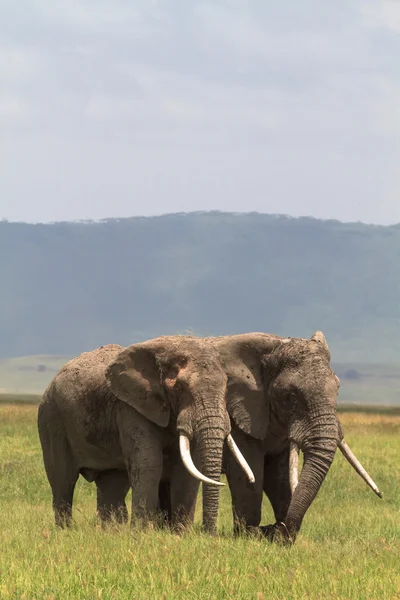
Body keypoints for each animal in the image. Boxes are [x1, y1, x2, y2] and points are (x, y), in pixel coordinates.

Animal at [39, 338, 255, 536]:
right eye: (180, 388)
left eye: (226, 388)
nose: (209, 533)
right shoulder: (131, 406)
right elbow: (149, 462)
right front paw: (142, 534)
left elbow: (187, 468)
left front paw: (181, 534)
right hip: (51, 419)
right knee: (63, 480)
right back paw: (65, 532)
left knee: (113, 482)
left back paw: (111, 533)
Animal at [206, 330, 382, 540]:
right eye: (291, 396)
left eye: (338, 389)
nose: (278, 529)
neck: (272, 346)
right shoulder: (241, 416)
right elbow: (250, 475)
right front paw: (249, 536)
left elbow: (278, 476)